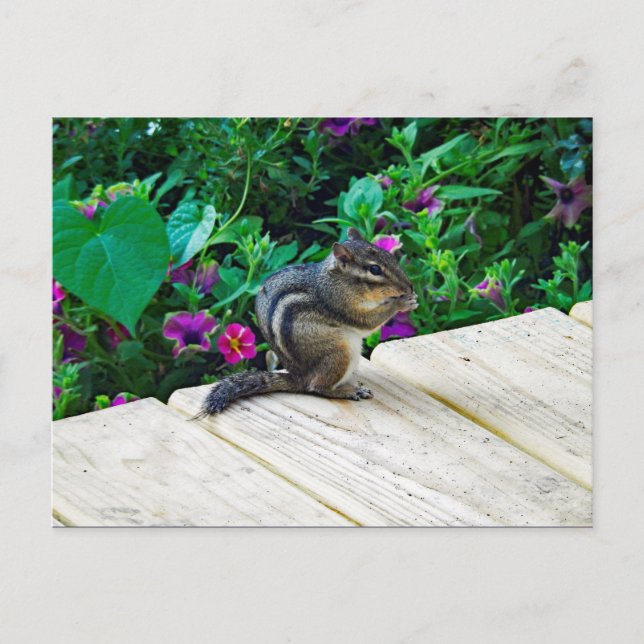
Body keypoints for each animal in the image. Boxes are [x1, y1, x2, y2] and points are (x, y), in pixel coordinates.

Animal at [198, 227, 418, 415]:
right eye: (374, 269)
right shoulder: (339, 303)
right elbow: (367, 322)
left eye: (390, 255)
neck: (337, 279)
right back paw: (347, 390)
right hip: (340, 352)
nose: (410, 286)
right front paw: (401, 302)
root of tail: (299, 378)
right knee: (317, 387)